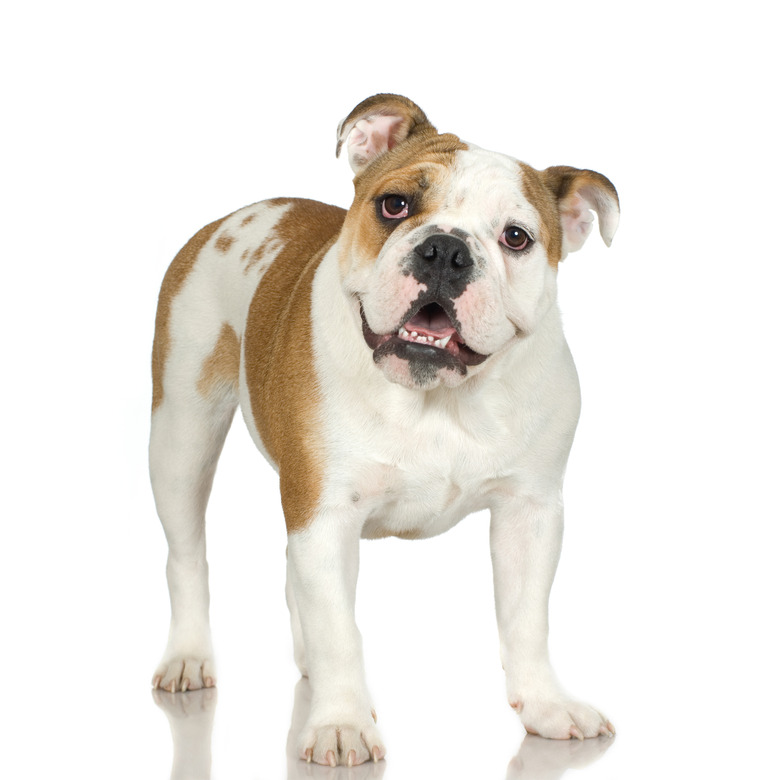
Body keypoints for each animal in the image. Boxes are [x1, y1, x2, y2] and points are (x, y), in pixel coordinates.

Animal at [149, 93, 620, 768]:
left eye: (517, 237)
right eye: (394, 205)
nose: (446, 250)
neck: (439, 399)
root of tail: (236, 215)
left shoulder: (530, 513)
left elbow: (527, 620)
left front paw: (546, 705)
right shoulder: (324, 513)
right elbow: (340, 631)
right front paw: (341, 722)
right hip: (180, 436)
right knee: (187, 555)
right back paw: (189, 657)